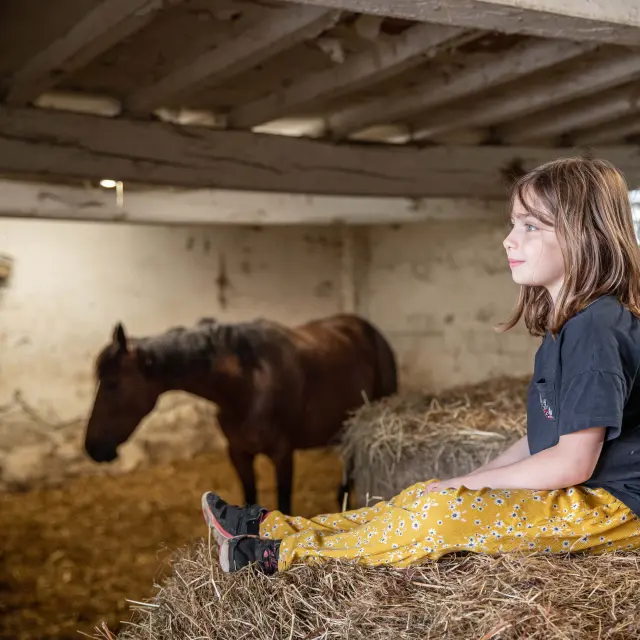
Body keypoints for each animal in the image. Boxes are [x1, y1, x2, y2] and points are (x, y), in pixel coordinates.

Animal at [83, 313, 398, 514]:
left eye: (112, 384)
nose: (92, 447)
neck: (247, 383)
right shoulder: (238, 453)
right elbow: (250, 498)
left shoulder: (282, 454)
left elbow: (284, 505)